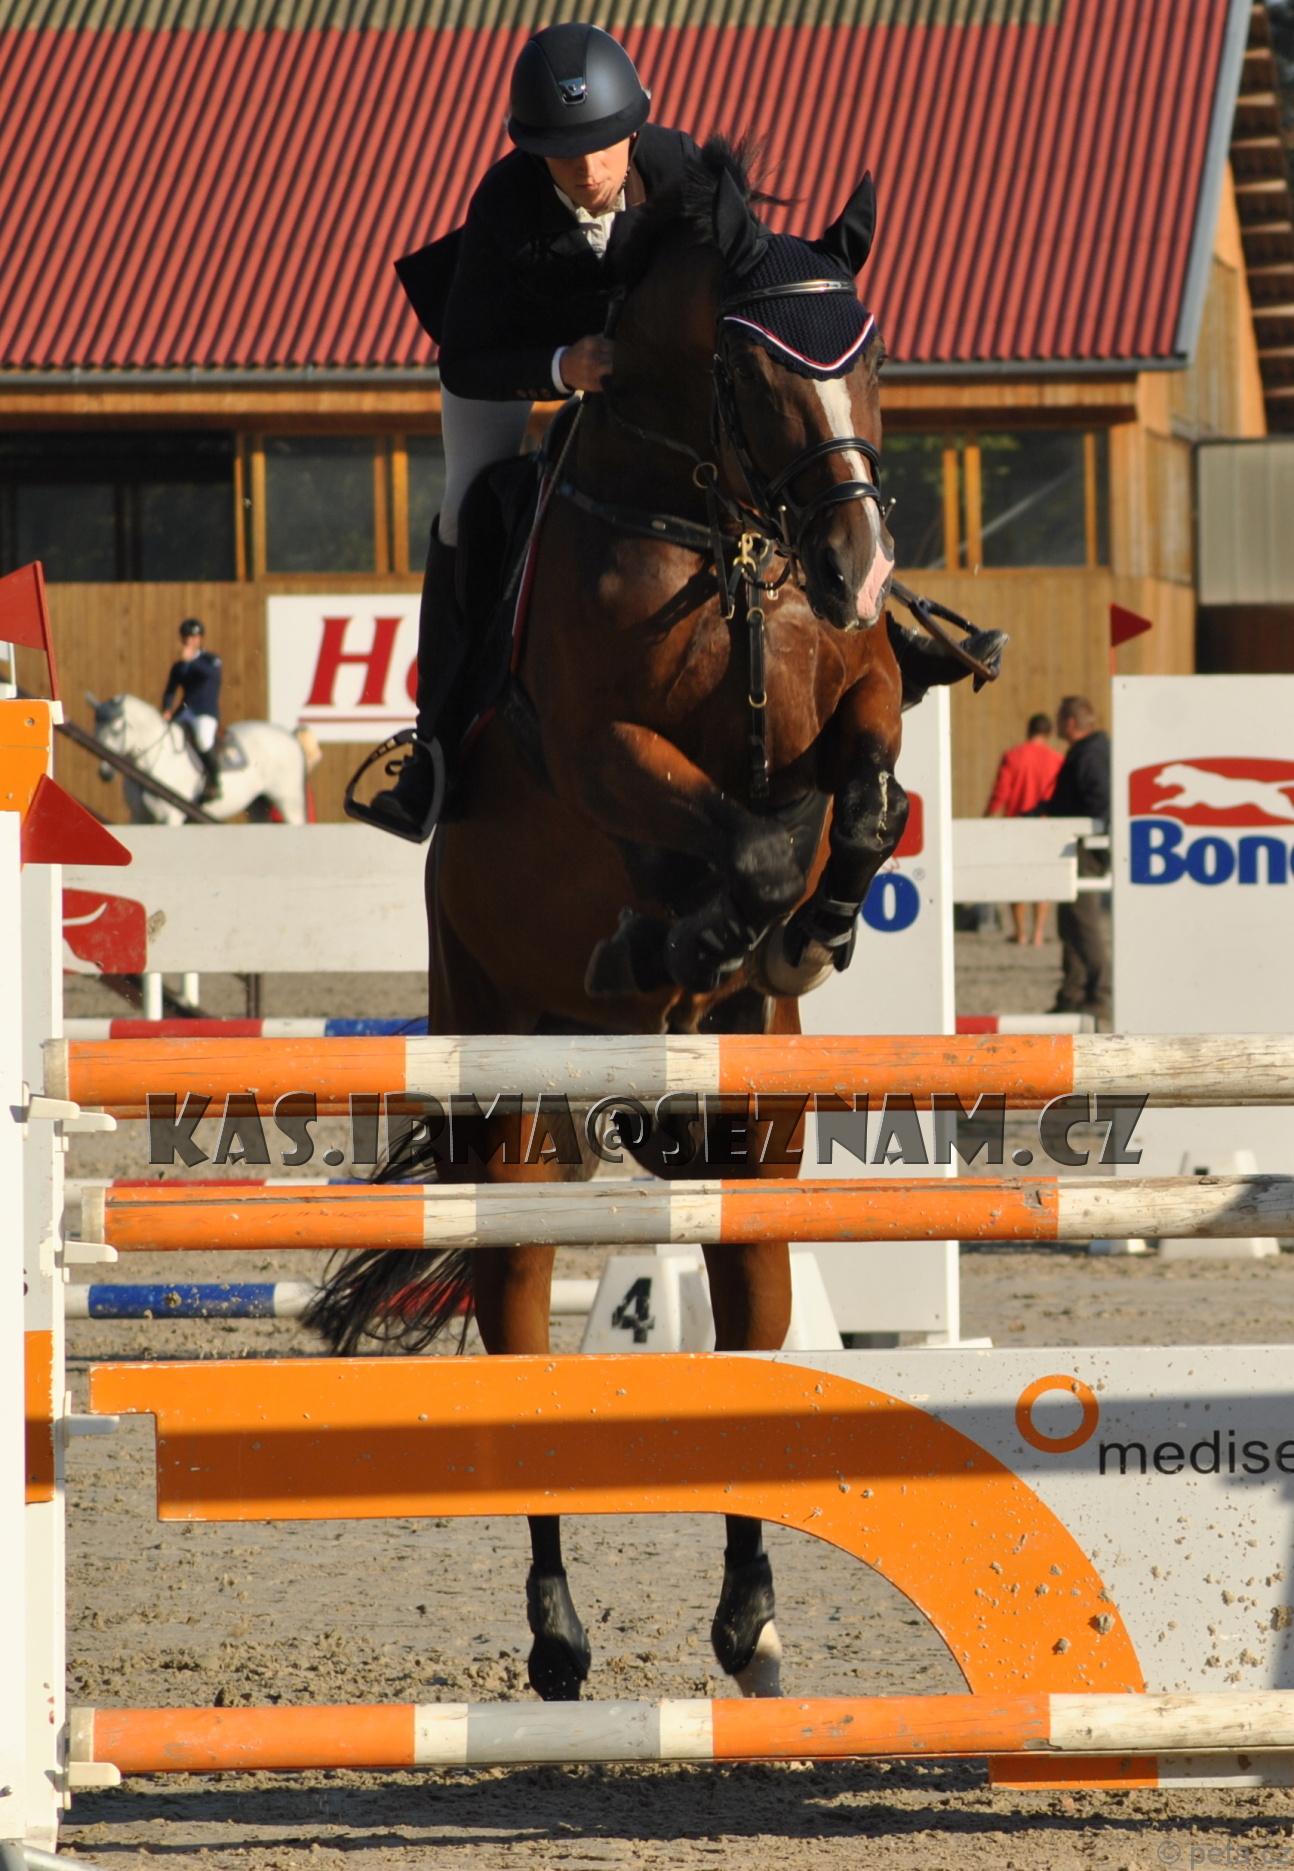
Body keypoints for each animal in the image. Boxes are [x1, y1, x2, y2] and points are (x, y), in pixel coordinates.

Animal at [90, 694, 321, 825]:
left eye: (117, 728)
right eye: (96, 725)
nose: (105, 773)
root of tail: (290, 737)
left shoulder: (171, 816)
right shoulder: (139, 817)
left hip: (288, 801)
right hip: (259, 804)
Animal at [308, 139, 922, 1705]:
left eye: (869, 355)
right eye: (758, 369)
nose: (860, 567)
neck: (716, 528)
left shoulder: (853, 689)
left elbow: (858, 789)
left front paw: (808, 923)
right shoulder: (604, 750)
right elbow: (743, 835)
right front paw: (685, 931)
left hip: (750, 1150)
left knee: (749, 1315)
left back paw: (751, 1616)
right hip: (506, 1107)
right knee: (518, 1325)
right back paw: (556, 1632)